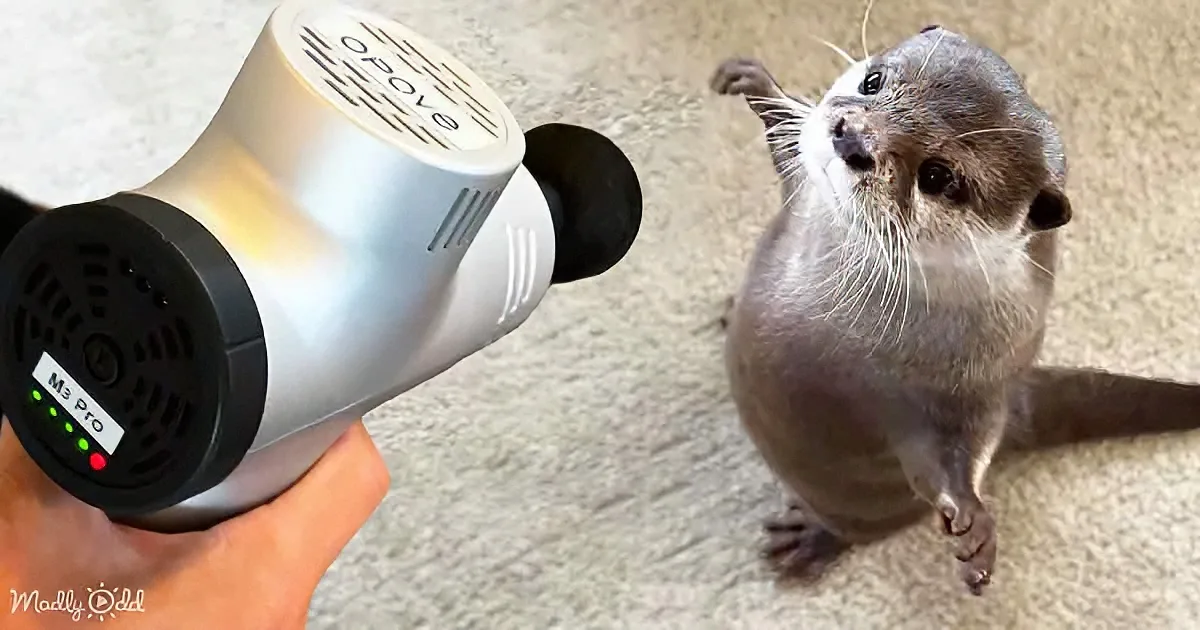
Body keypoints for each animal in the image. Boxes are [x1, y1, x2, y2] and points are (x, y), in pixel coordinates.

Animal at [711, 27, 1200, 595]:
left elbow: (953, 460)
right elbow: (789, 141)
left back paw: (811, 539)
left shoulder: (975, 381)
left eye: (938, 175)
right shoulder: (800, 191)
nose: (851, 138)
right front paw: (758, 84)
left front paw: (974, 524)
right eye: (872, 82)